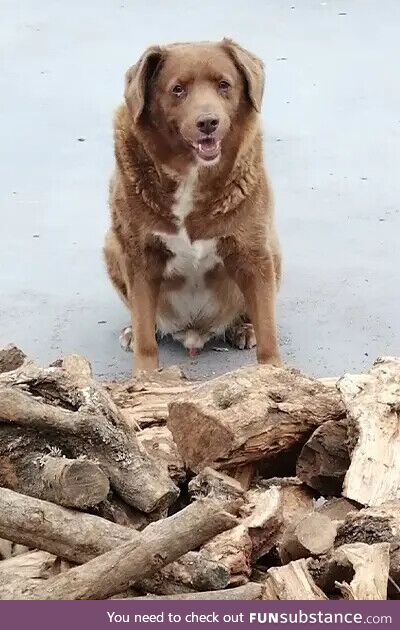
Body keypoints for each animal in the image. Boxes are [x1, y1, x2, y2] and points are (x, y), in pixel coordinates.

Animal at [104, 39, 282, 372]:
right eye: (178, 89)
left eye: (224, 84)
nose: (208, 122)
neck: (191, 175)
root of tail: (193, 331)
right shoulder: (139, 256)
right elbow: (145, 333)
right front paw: (145, 375)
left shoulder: (253, 252)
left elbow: (268, 329)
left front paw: (273, 373)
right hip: (111, 244)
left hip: (273, 250)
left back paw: (242, 328)